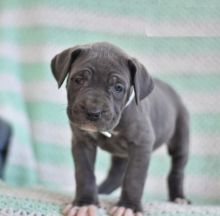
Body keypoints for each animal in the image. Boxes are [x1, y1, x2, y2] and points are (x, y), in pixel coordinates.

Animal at [50, 41, 190, 216]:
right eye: (79, 80)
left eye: (118, 88)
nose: (93, 112)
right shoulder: (82, 142)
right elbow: (85, 173)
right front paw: (85, 203)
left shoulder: (141, 145)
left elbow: (134, 178)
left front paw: (128, 206)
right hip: (121, 155)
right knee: (116, 175)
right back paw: (101, 191)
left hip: (180, 139)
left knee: (177, 170)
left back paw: (179, 198)